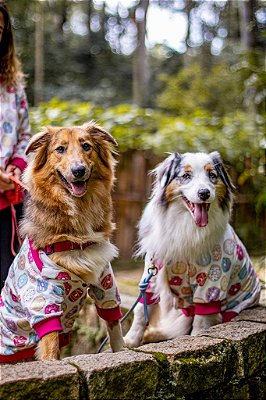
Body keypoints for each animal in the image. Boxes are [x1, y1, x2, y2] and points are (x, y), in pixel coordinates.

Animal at [0, 122, 125, 362]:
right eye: (60, 149)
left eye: (86, 146)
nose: (79, 170)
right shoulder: (41, 295)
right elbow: (50, 342)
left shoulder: (105, 281)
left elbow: (113, 322)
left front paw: (123, 352)